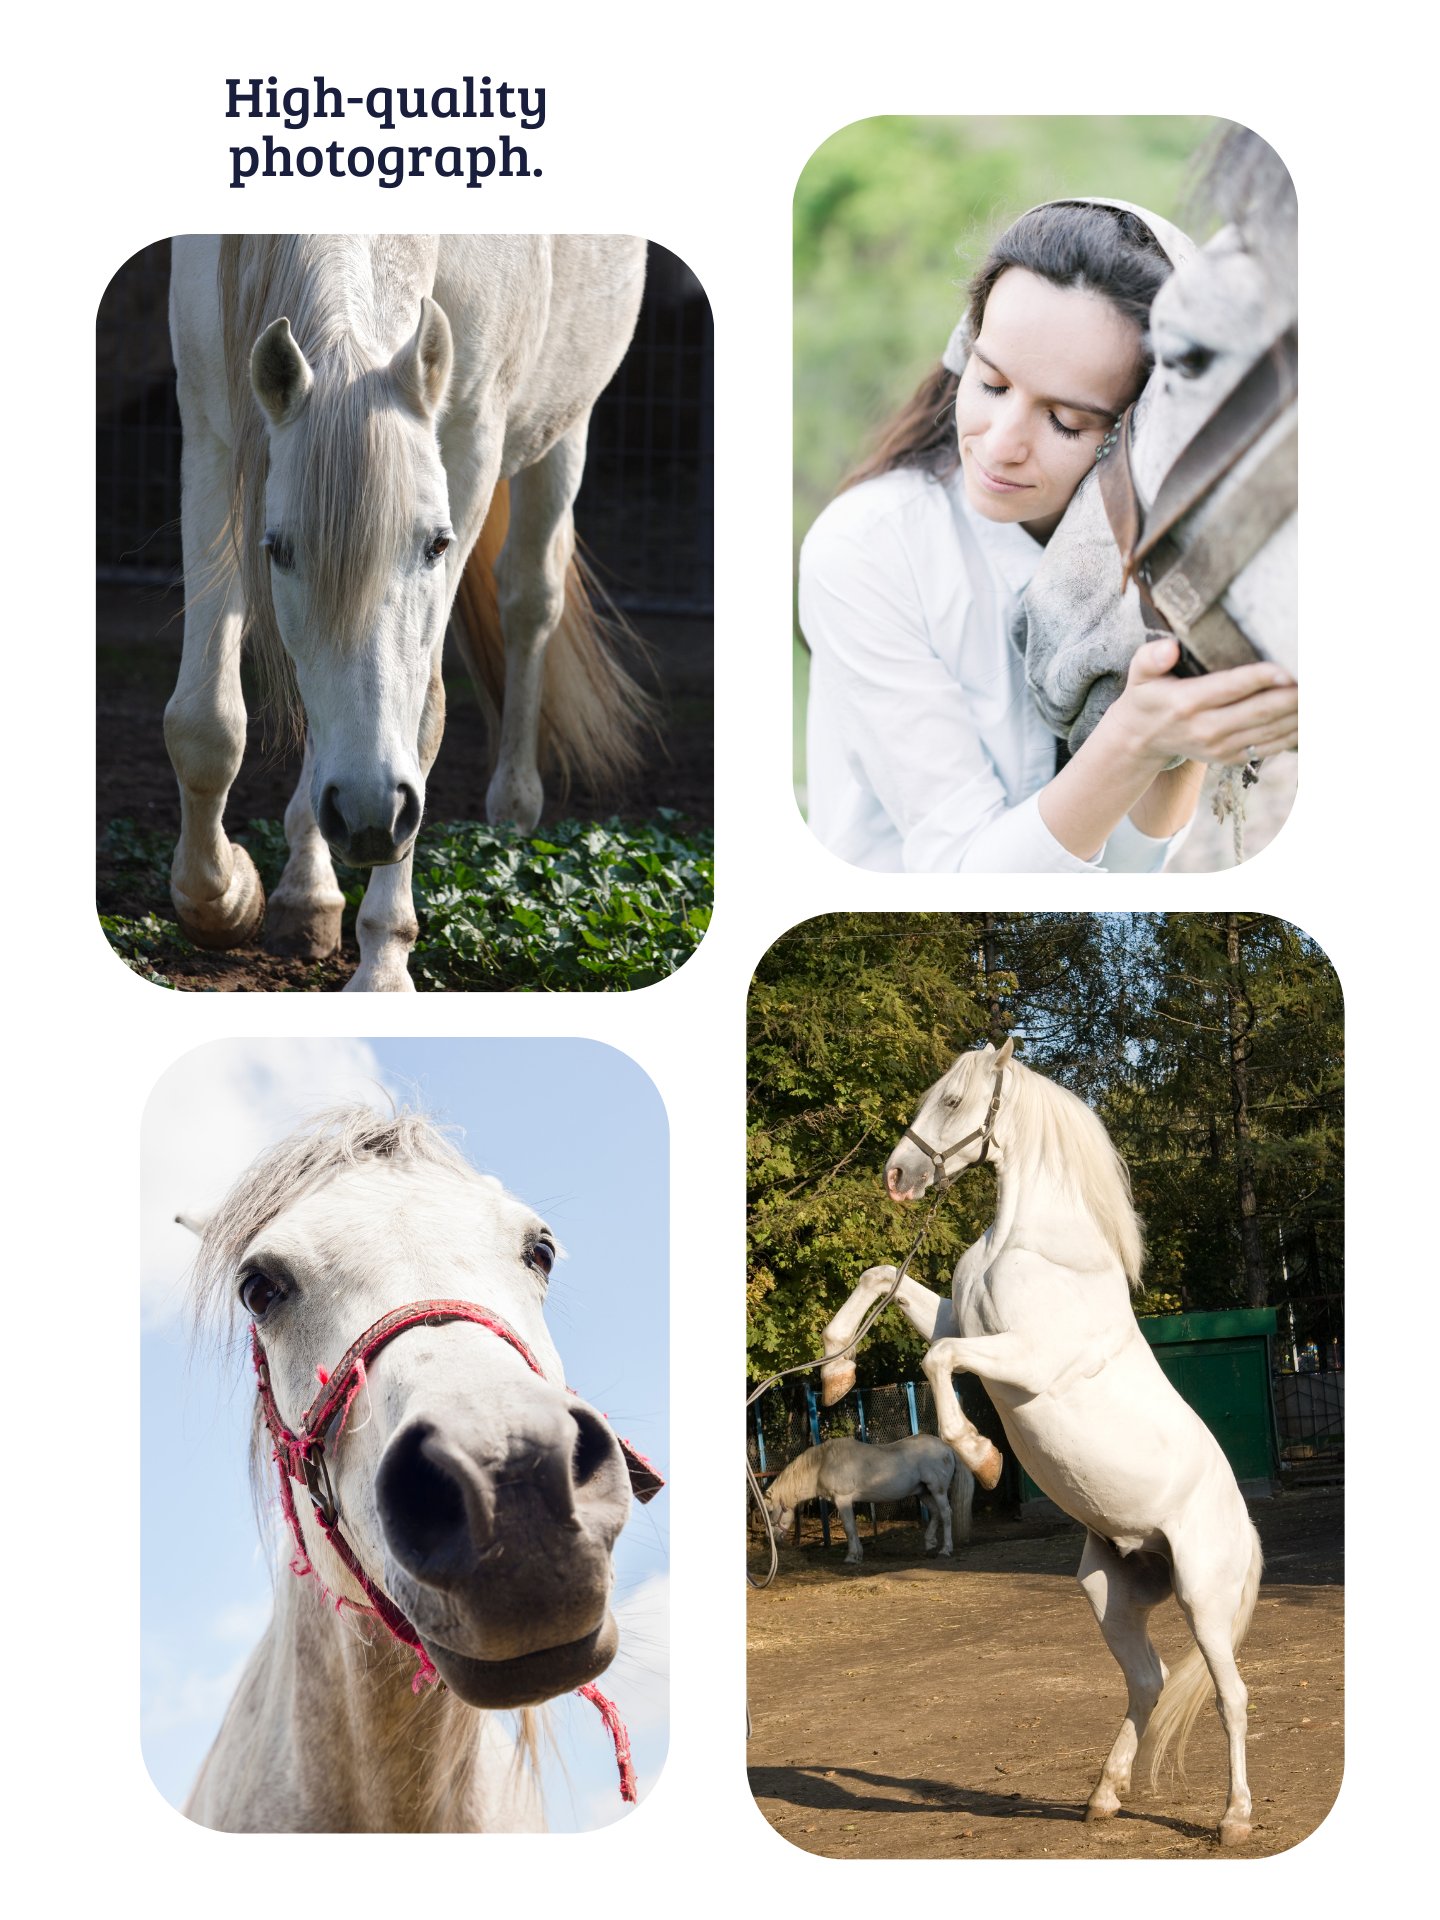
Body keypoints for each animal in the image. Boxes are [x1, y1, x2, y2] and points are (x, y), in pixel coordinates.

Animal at [165, 236, 652, 991]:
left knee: (530, 600)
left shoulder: (472, 446)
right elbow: (205, 722)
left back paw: (512, 812)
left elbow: (423, 715)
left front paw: (384, 963)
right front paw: (222, 899)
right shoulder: (212, 428)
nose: (370, 816)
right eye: (277, 550)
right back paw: (309, 890)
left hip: (565, 425)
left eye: (437, 545)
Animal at [765, 1434, 975, 1564]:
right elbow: (853, 1528)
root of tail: (947, 1448)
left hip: (937, 1491)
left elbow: (849, 1528)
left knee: (946, 1514)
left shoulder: (843, 1500)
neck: (823, 1463)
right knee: (936, 1513)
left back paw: (945, 1549)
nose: (771, 1539)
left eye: (770, 1511)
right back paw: (930, 1543)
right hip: (923, 1492)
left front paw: (851, 1557)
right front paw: (858, 1554)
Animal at [819, 1039, 1263, 1846]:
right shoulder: (958, 1318)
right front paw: (836, 1370)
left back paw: (1234, 1819)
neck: (1031, 1245)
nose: (898, 1177)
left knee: (1232, 1695)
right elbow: (882, 1278)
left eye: (953, 1100)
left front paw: (984, 1457)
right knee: (1147, 1681)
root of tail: (1245, 1531)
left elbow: (937, 1361)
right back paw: (1104, 1797)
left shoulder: (1021, 1358)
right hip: (1110, 1593)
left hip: (1204, 1598)